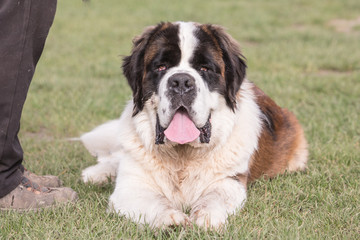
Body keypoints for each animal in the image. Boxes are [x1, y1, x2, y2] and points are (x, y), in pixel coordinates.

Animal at [80, 21, 308, 229]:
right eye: (161, 67)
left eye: (204, 68)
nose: (181, 81)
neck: (182, 158)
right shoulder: (130, 186)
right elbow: (152, 201)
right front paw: (171, 219)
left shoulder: (230, 179)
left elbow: (216, 196)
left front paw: (205, 217)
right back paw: (97, 173)